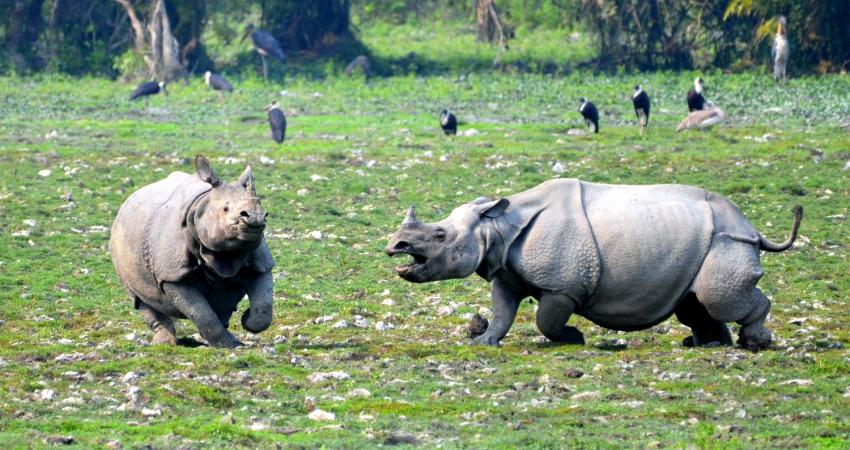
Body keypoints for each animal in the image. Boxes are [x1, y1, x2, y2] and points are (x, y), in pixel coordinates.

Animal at [109, 156, 274, 348]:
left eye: (266, 213)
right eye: (225, 209)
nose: (255, 218)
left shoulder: (261, 263)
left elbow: (263, 309)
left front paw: (246, 321)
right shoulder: (173, 275)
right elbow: (202, 314)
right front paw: (227, 347)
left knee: (223, 302)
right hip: (117, 244)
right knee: (139, 299)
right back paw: (165, 343)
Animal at [386, 179, 802, 351]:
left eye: (439, 235)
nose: (395, 246)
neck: (495, 226)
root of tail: (752, 227)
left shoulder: (563, 285)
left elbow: (547, 319)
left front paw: (572, 339)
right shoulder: (505, 271)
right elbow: (503, 311)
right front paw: (483, 342)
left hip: (728, 240)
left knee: (718, 297)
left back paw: (756, 342)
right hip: (708, 242)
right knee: (694, 302)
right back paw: (707, 346)